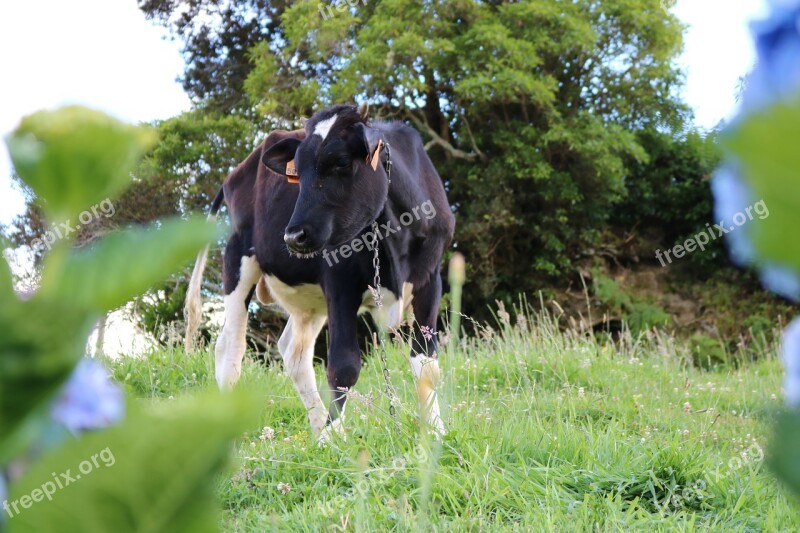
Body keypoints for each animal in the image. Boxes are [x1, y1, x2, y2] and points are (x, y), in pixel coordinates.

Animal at [184, 103, 454, 440]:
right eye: (296, 173)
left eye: (341, 162)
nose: (293, 236)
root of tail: (235, 172)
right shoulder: (339, 282)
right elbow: (344, 365)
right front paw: (335, 438)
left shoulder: (429, 279)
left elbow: (427, 362)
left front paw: (436, 433)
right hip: (237, 259)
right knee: (230, 350)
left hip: (309, 302)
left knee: (294, 354)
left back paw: (316, 430)